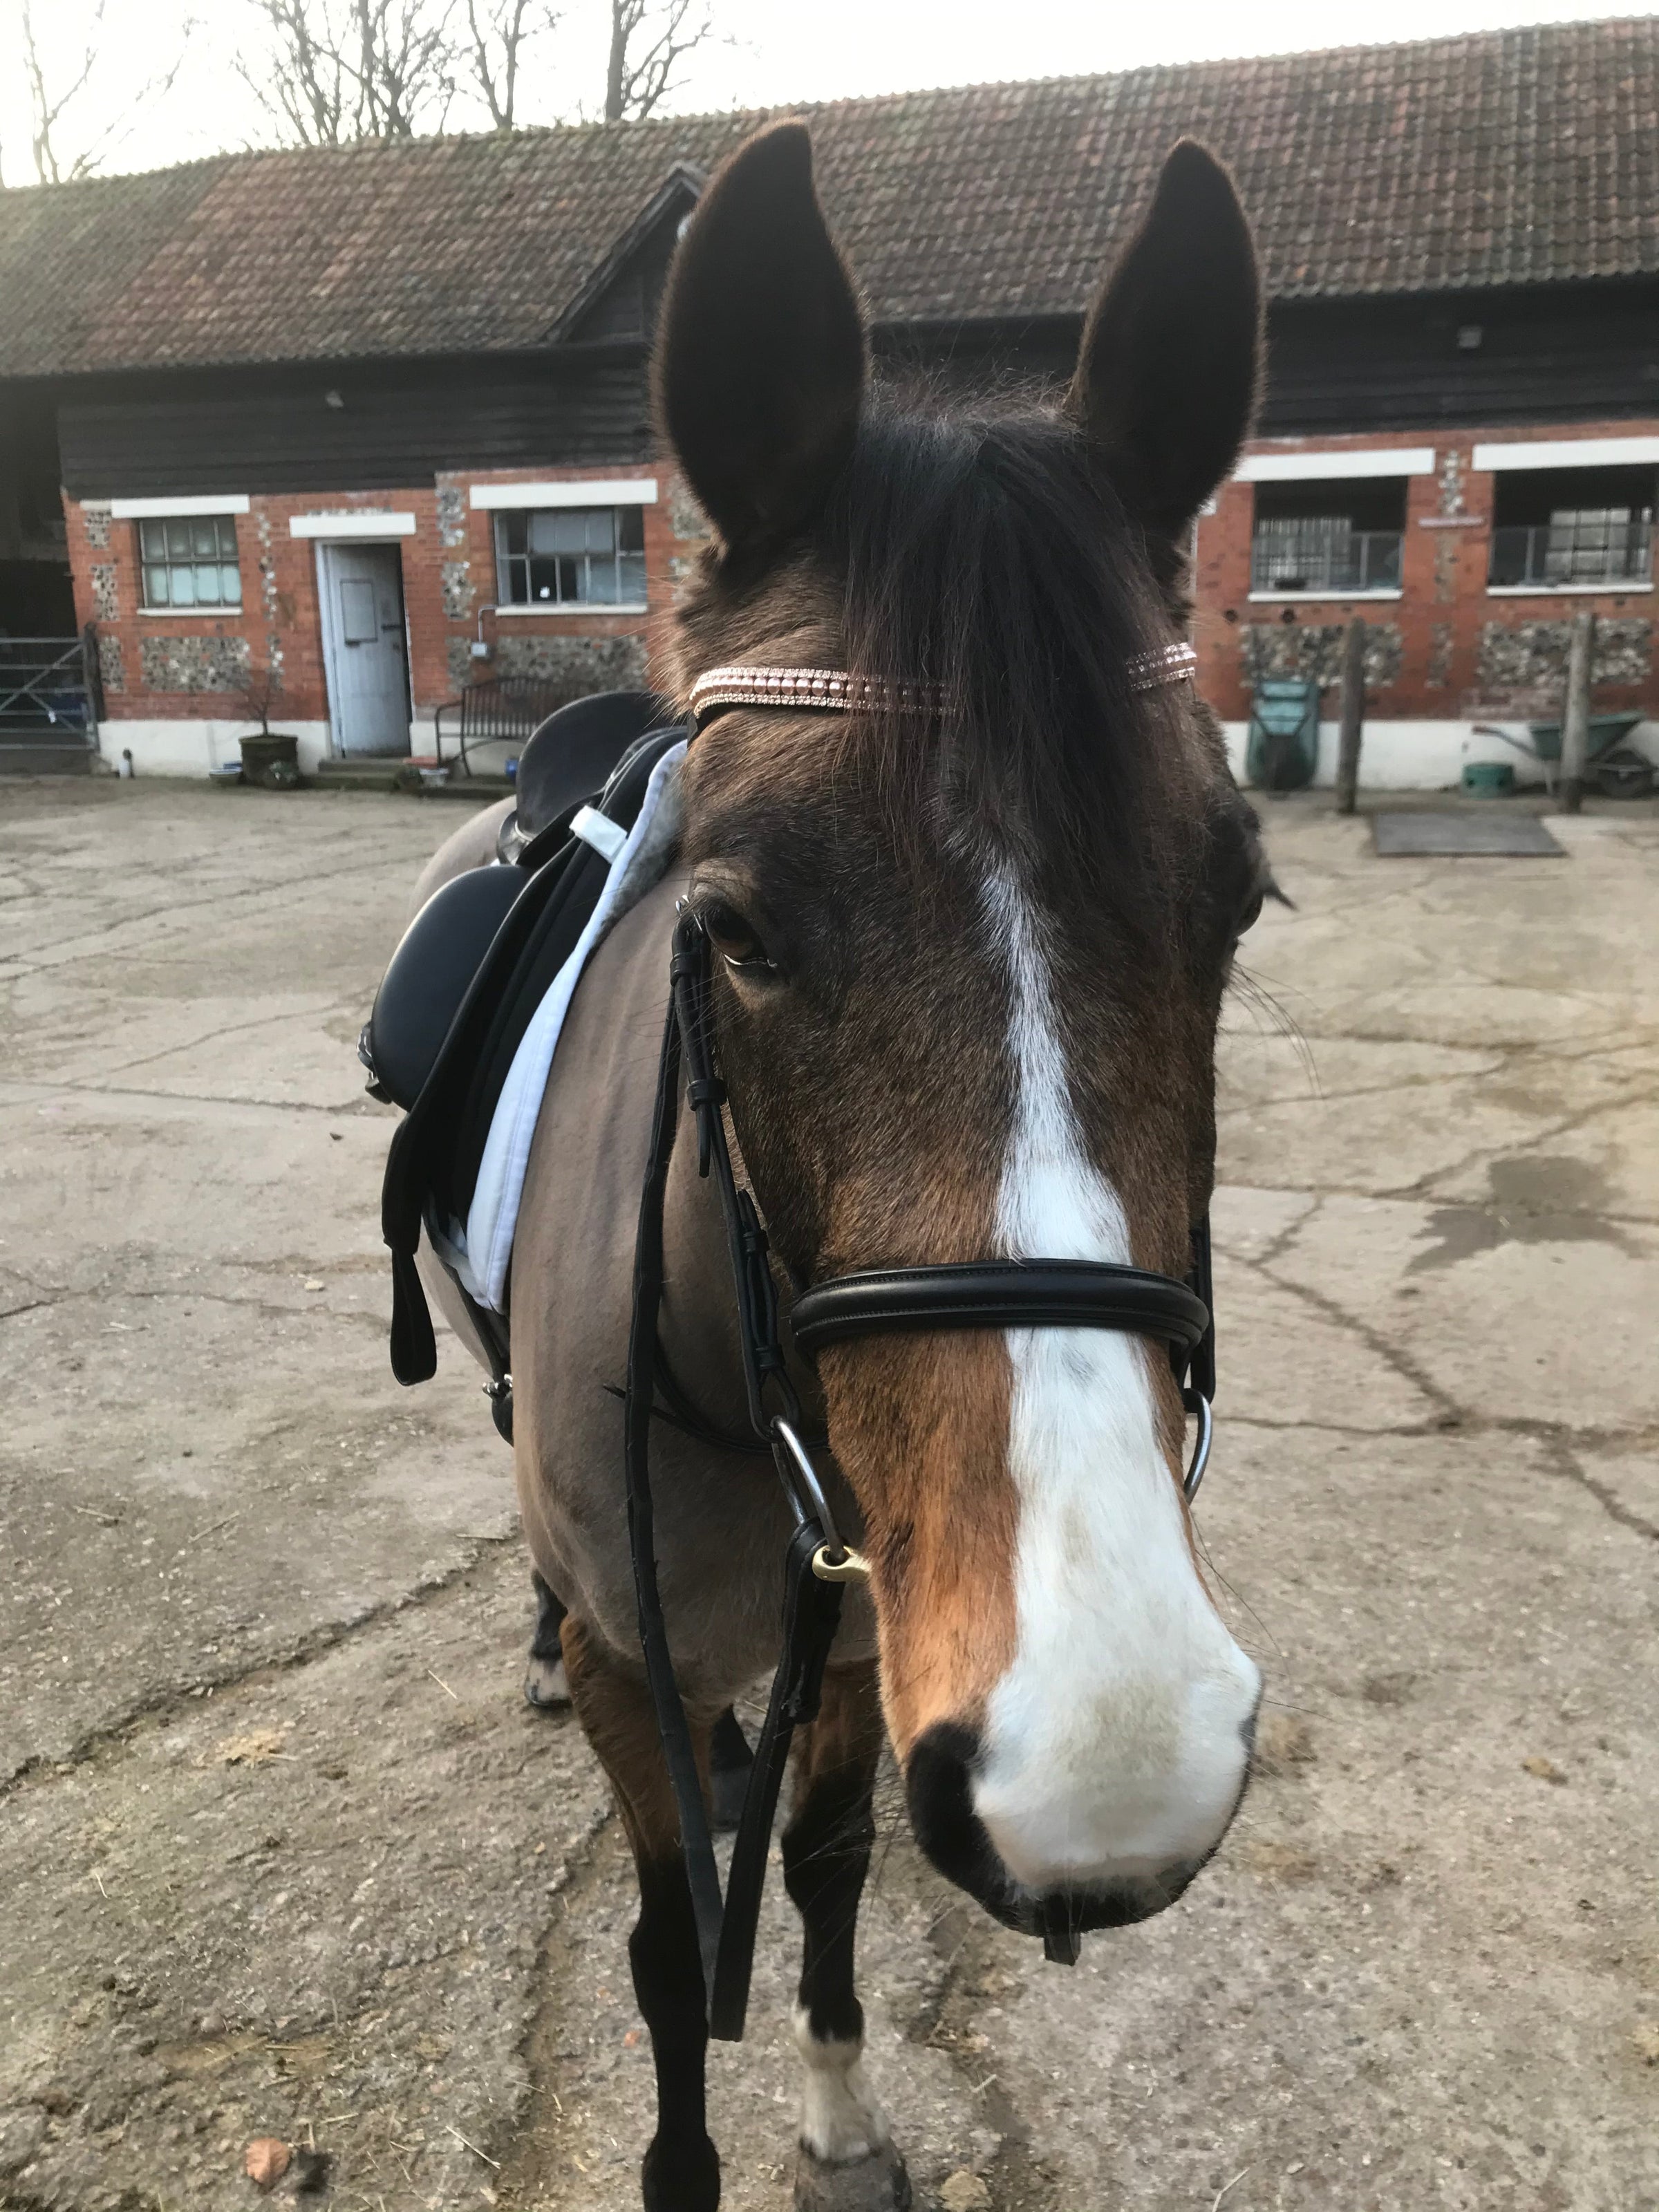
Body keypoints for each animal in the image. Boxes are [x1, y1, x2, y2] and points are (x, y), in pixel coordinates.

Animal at [418, 121, 1274, 2212]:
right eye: (730, 931)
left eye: (1236, 901)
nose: (1113, 1751)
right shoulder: (651, 1667)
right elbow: (667, 1945)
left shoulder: (886, 1620)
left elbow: (812, 1872)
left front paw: (831, 2111)